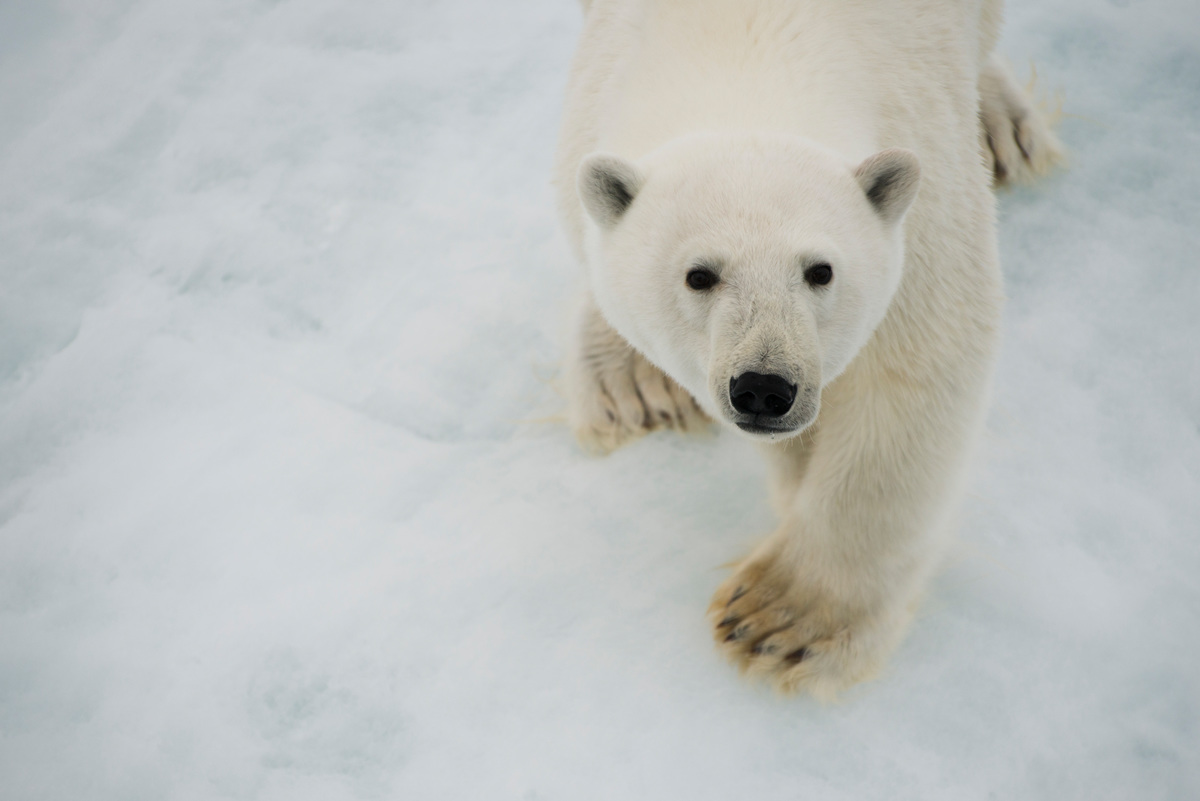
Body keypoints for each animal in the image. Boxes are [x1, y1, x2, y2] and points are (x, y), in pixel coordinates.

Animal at [555, 0, 1061, 698]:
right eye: (699, 275)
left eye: (820, 270)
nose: (765, 388)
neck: (745, 39)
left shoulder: (925, 191)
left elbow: (914, 371)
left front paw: (779, 622)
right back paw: (629, 388)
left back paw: (1004, 127)